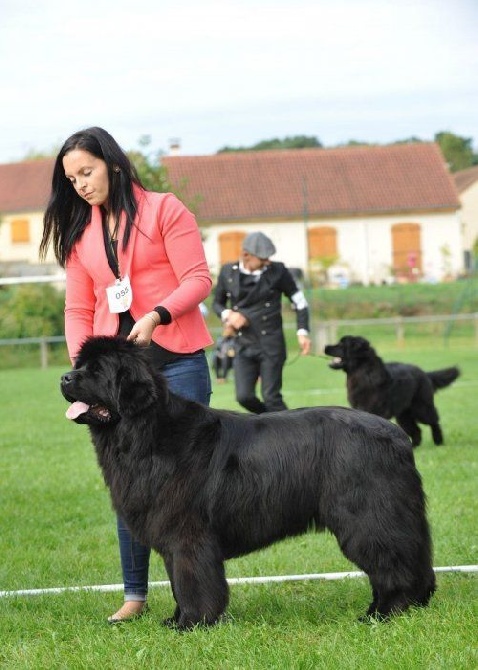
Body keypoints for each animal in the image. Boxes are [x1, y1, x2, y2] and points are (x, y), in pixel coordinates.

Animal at [60, 338, 436, 632]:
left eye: (97, 371)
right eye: (79, 366)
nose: (64, 377)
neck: (145, 432)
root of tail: (397, 435)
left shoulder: (188, 535)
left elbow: (191, 581)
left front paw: (192, 623)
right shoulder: (171, 538)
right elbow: (177, 581)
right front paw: (176, 619)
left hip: (366, 517)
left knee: (392, 564)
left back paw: (383, 613)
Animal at [324, 334, 460, 448]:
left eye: (341, 344)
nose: (325, 347)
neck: (362, 372)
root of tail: (424, 373)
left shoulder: (373, 408)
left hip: (421, 407)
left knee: (433, 421)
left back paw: (438, 442)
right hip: (404, 414)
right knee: (416, 430)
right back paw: (414, 447)